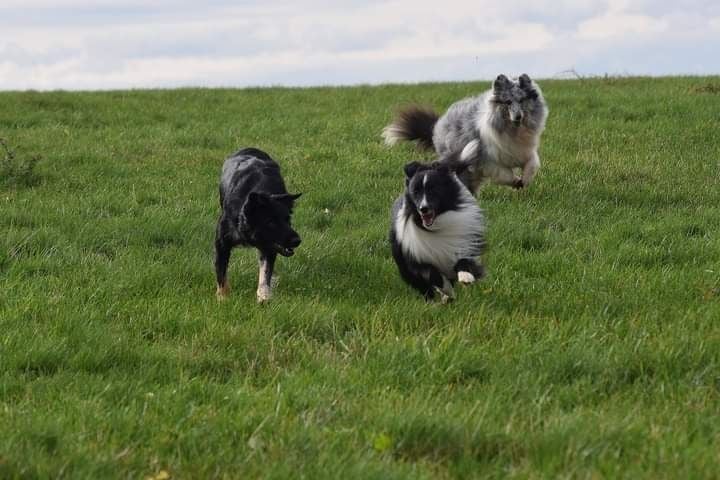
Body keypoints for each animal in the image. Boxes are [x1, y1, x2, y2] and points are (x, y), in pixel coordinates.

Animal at [215, 148, 302, 302]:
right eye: (270, 222)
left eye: (288, 220)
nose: (297, 240)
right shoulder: (221, 242)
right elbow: (221, 272)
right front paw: (223, 297)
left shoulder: (270, 247)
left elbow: (265, 271)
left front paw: (263, 295)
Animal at [382, 72, 544, 191]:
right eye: (508, 102)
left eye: (522, 100)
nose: (518, 117)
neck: (512, 131)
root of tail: (437, 124)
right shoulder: (487, 161)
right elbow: (504, 173)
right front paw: (516, 181)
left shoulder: (524, 151)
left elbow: (532, 163)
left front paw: (525, 180)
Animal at [390, 161, 486, 304]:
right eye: (415, 192)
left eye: (433, 189)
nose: (423, 209)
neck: (436, 225)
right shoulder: (416, 256)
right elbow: (433, 274)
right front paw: (447, 290)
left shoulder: (465, 243)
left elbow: (464, 261)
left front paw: (466, 277)